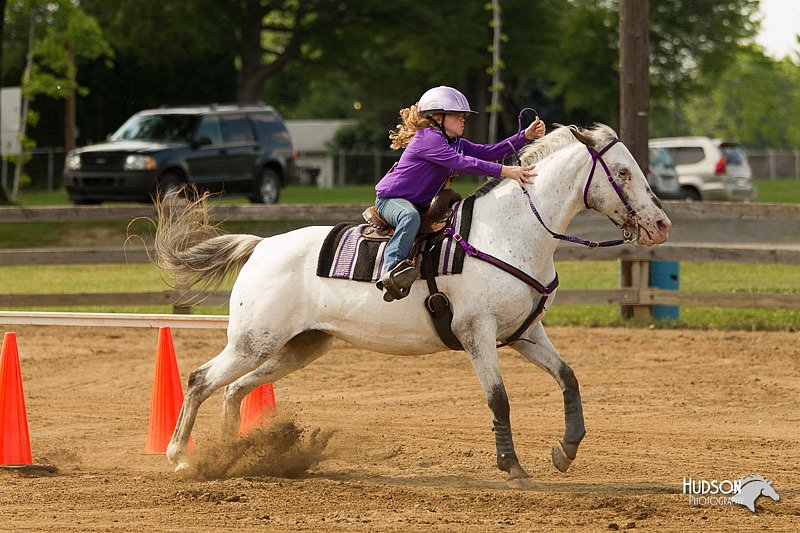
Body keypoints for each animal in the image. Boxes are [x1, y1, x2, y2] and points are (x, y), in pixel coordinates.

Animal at [153, 123, 672, 486]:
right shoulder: (476, 333)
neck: (508, 233)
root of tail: (260, 246)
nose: (661, 224)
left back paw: (229, 457)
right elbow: (498, 398)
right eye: (623, 172)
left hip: (299, 346)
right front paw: (512, 466)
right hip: (252, 341)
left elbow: (568, 377)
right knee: (201, 380)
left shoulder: (524, 334)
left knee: (234, 391)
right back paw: (180, 456)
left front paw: (566, 450)